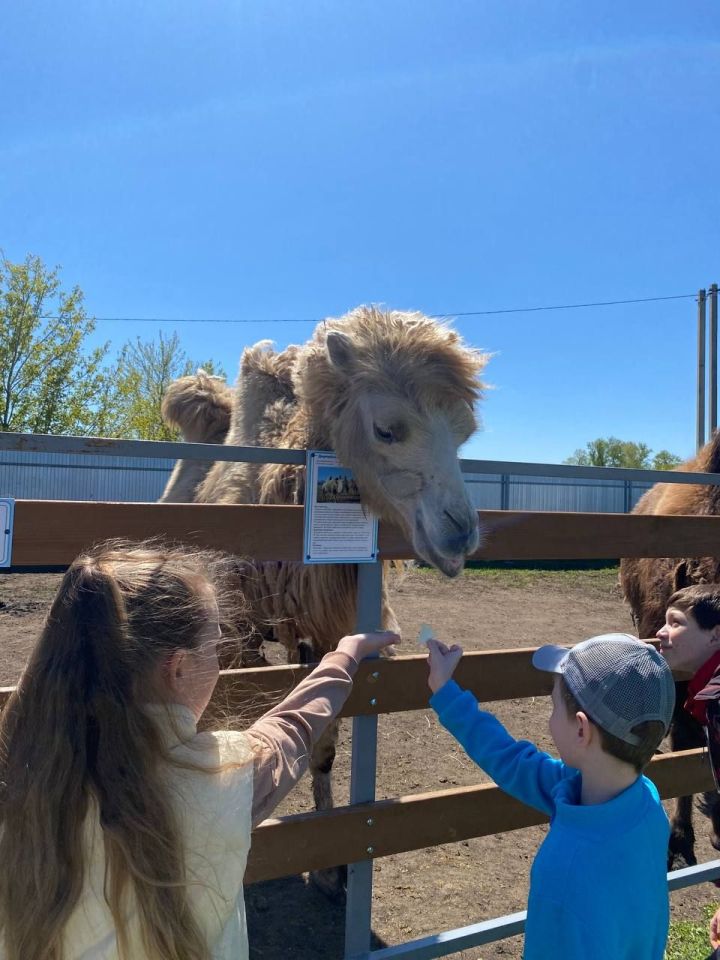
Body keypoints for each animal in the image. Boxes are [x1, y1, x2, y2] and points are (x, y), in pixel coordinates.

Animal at [158, 310, 490, 900]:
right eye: (387, 429)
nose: (460, 535)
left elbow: (324, 739)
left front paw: (331, 867)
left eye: (464, 433)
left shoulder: (326, 631)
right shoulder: (238, 634)